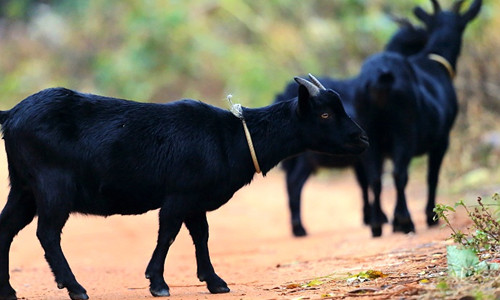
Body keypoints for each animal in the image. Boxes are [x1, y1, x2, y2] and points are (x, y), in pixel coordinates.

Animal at [0, 75, 368, 300]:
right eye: (324, 114)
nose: (362, 138)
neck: (230, 138)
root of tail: (11, 113)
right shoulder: (179, 195)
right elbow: (168, 234)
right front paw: (158, 283)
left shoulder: (196, 200)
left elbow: (201, 236)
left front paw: (215, 281)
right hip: (53, 185)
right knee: (47, 233)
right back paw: (75, 286)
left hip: (23, 186)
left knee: (7, 228)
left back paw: (10, 290)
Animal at [354, 0, 482, 237]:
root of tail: (378, 78)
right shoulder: (442, 140)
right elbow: (432, 176)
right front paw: (430, 217)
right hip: (404, 129)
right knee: (399, 174)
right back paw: (406, 222)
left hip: (368, 131)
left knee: (375, 177)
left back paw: (377, 225)